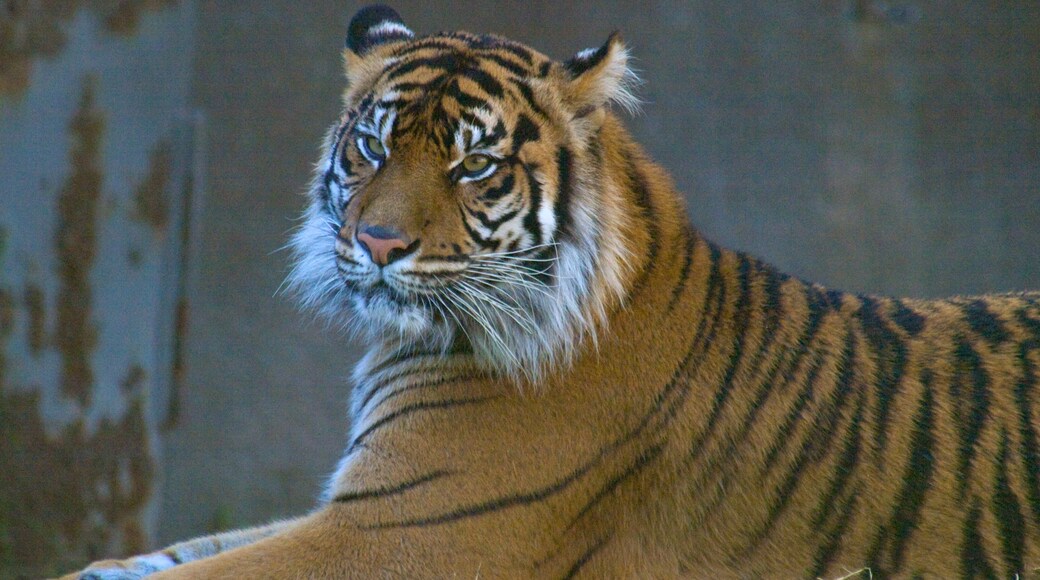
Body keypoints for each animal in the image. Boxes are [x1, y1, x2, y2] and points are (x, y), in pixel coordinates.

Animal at [62, 4, 1040, 579]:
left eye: (473, 165)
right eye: (373, 147)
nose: (376, 243)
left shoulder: (402, 528)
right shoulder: (362, 498)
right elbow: (154, 559)